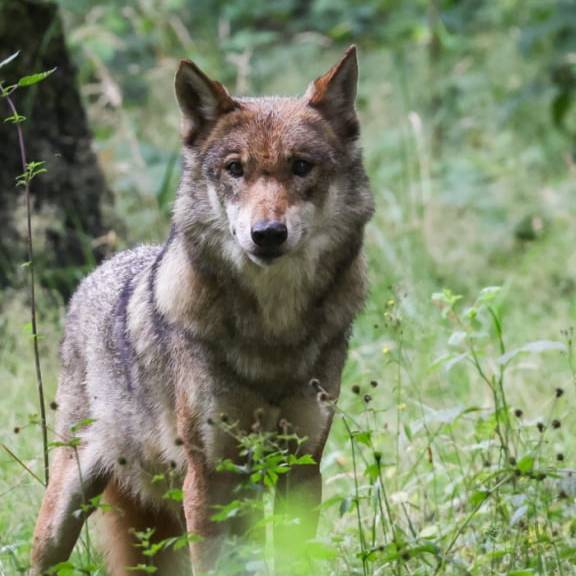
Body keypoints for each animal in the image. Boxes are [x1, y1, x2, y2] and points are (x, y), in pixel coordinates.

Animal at [30, 46, 374, 576]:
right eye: (235, 168)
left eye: (301, 166)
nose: (267, 234)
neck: (272, 333)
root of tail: (97, 272)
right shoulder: (209, 477)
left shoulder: (300, 467)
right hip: (67, 507)